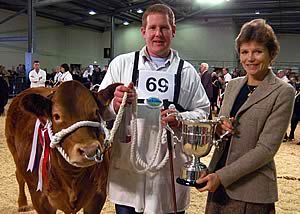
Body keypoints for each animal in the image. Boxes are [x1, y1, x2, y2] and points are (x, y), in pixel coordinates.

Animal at [4, 80, 119, 214]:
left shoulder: (98, 196)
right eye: (57, 116)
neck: (71, 176)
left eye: (96, 112)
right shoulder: (40, 200)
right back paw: (22, 203)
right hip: (14, 151)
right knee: (19, 175)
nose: (89, 150)